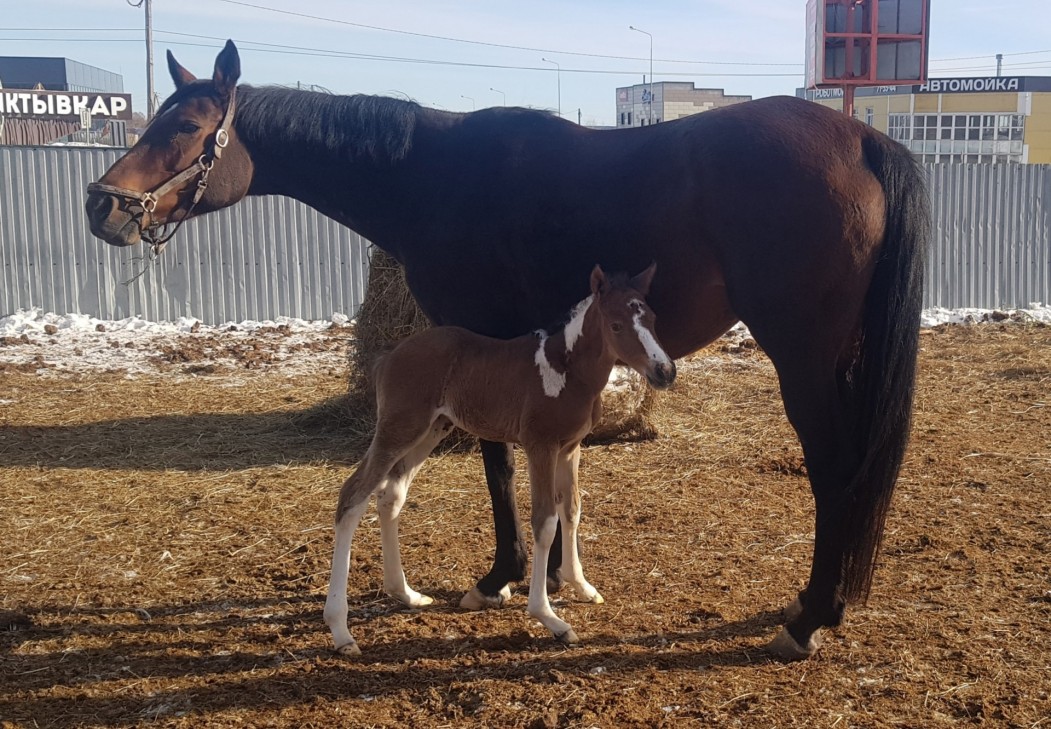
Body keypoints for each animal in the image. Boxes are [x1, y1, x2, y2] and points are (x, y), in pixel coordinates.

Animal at [323, 263, 676, 655]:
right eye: (616, 325)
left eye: (652, 318)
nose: (665, 371)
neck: (567, 370)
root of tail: (390, 355)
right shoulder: (541, 446)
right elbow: (545, 522)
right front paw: (549, 617)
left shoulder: (570, 448)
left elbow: (572, 510)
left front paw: (582, 587)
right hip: (399, 427)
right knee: (352, 496)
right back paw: (340, 629)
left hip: (431, 429)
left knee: (390, 496)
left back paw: (406, 594)